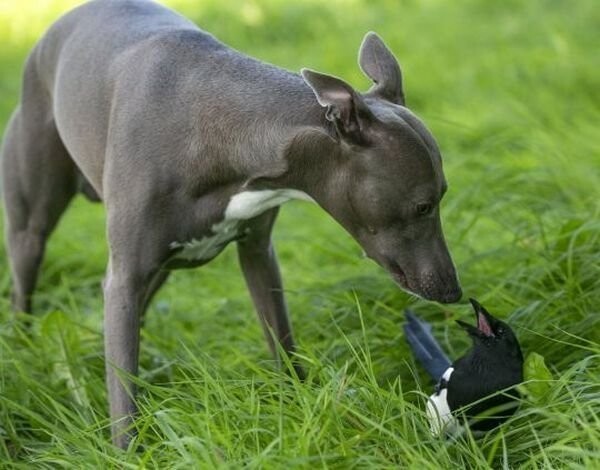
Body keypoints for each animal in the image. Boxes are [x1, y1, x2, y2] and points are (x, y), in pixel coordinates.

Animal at [0, 0, 462, 448]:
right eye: (423, 205)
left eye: (442, 194)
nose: (454, 292)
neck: (221, 131)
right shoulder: (125, 276)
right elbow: (124, 396)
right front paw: (127, 452)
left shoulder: (257, 253)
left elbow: (281, 341)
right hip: (32, 228)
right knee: (27, 285)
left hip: (164, 265)